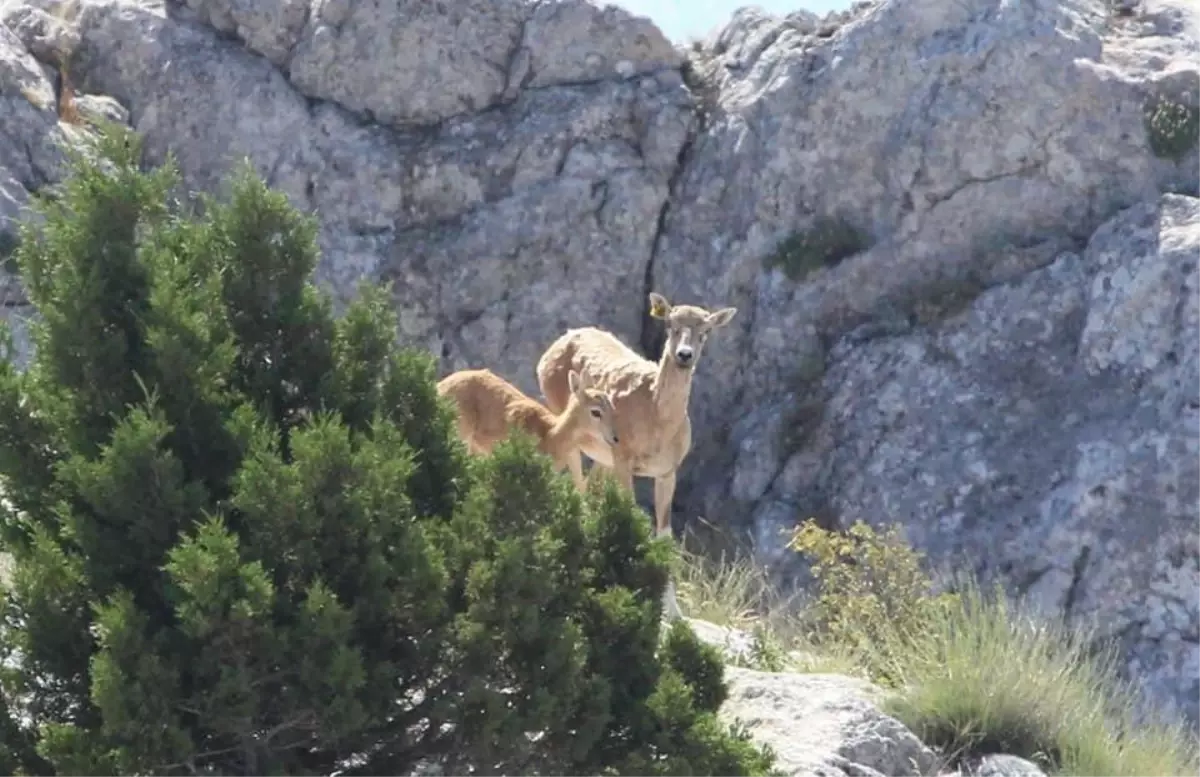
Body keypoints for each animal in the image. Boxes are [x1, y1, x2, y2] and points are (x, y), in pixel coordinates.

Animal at [537, 287, 739, 623]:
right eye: (670, 324)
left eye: (706, 331)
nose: (684, 355)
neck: (657, 424)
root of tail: (551, 349)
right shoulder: (624, 459)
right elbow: (629, 515)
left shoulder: (668, 471)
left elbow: (664, 535)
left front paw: (673, 611)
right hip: (567, 422)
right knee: (577, 484)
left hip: (603, 457)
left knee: (591, 488)